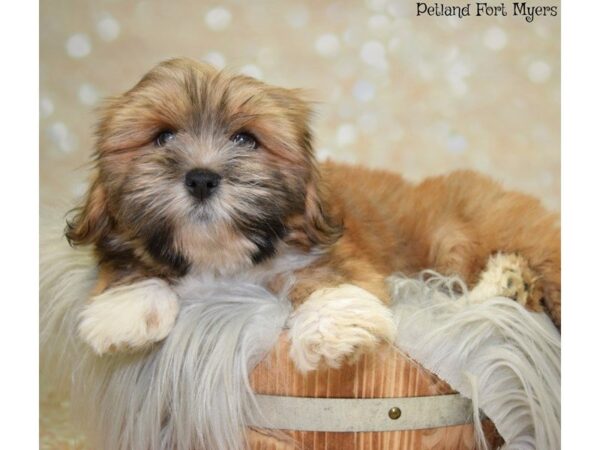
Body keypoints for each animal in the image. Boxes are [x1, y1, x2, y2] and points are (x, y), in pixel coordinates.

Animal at [67, 58, 564, 370]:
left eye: (245, 139)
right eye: (163, 137)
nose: (202, 178)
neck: (222, 259)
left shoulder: (330, 254)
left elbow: (329, 279)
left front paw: (334, 330)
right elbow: (129, 264)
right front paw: (126, 308)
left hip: (481, 230)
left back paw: (506, 284)